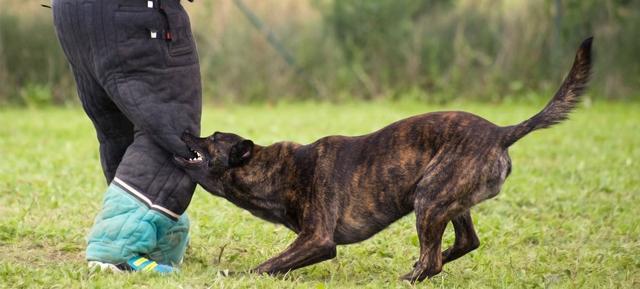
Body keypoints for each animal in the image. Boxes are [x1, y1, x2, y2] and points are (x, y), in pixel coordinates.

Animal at [172, 37, 592, 280]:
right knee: (463, 243)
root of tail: (501, 132)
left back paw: (410, 278)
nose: (184, 132)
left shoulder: (318, 239)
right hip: (448, 200)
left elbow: (268, 265)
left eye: (213, 138)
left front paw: (236, 275)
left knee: (433, 258)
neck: (276, 170)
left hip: (429, 199)